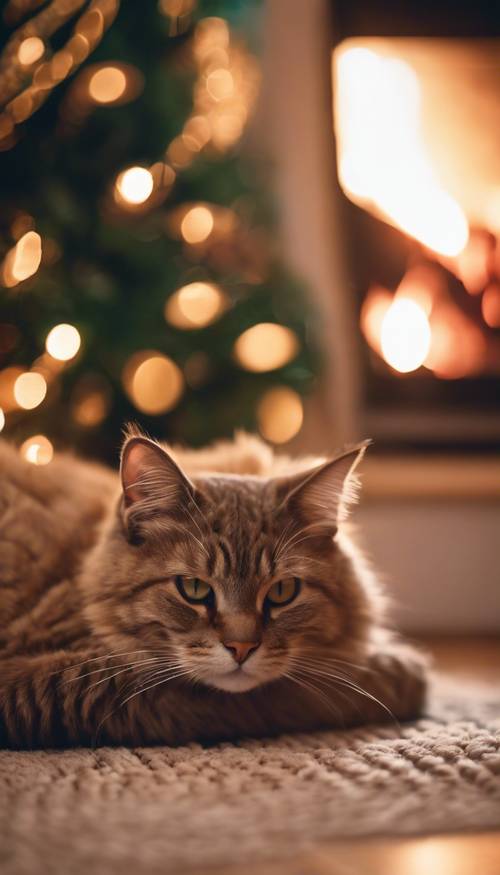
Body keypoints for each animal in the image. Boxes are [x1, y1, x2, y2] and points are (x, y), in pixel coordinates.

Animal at [0, 428, 426, 748]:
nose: (241, 648)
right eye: (192, 588)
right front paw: (397, 670)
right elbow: (299, 692)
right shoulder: (103, 686)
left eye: (282, 591)